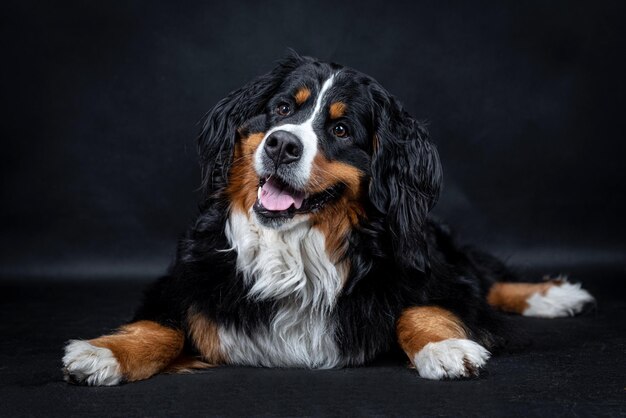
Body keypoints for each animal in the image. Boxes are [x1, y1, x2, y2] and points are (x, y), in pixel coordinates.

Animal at [61, 52, 592, 386]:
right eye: (281, 108)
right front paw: (103, 353)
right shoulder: (186, 280)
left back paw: (554, 295)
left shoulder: (431, 277)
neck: (293, 250)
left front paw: (445, 349)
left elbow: (422, 309)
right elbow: (161, 324)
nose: (281, 143)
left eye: (339, 129)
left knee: (485, 275)